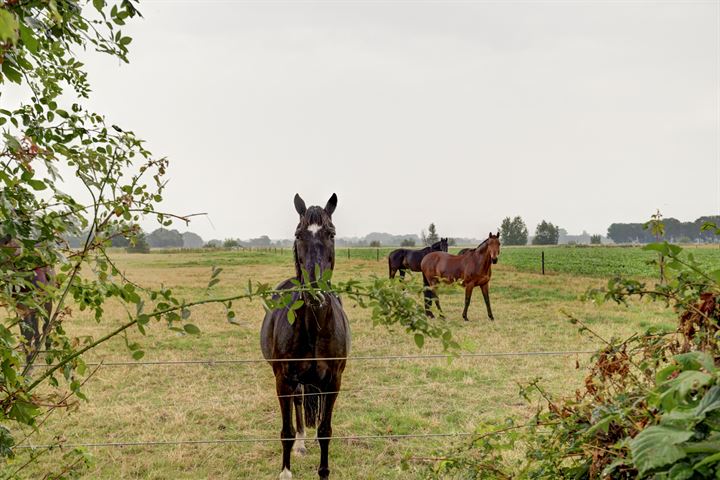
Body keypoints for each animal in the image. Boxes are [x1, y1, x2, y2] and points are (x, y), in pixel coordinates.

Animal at [0, 234, 52, 362]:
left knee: (44, 325)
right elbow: (25, 330)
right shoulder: (20, 305)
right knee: (34, 326)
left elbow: (39, 327)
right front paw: (29, 355)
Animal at [260, 192, 350, 480]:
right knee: (299, 403)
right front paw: (285, 472)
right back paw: (300, 444)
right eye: (299, 234)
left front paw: (324, 472)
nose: (315, 291)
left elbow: (325, 432)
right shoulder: (283, 380)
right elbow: (286, 432)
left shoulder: (333, 383)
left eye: (331, 233)